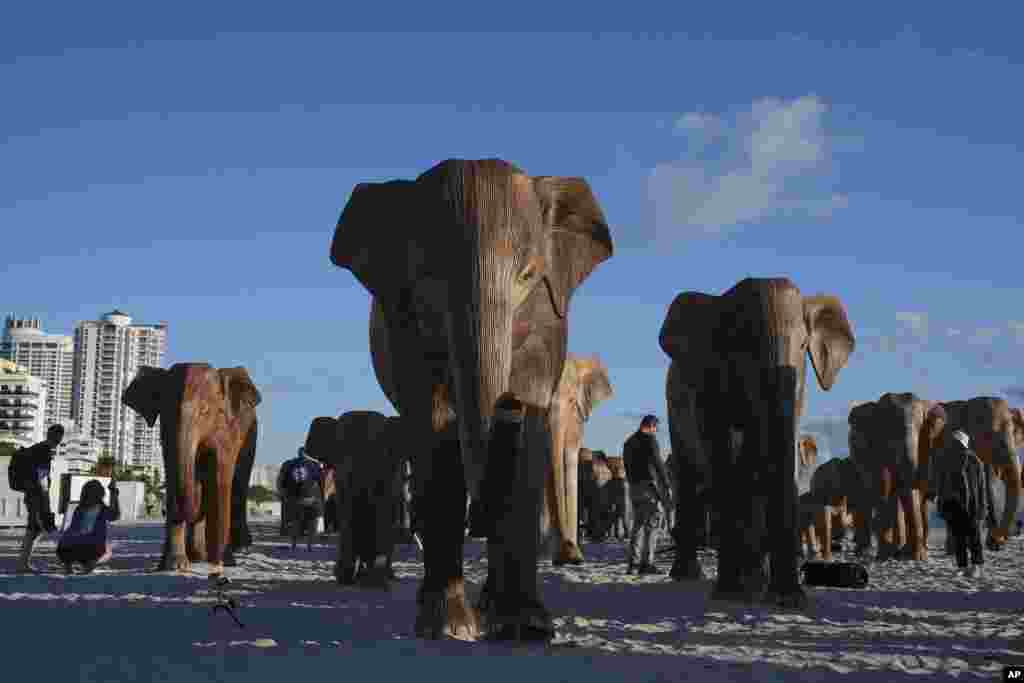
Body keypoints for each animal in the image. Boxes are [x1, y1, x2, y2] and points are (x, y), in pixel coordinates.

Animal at [122, 363, 261, 579]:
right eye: (164, 410)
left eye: (205, 411)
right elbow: (174, 475)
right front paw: (173, 566)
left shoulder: (227, 430)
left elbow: (220, 480)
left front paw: (221, 563)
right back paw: (198, 556)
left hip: (251, 433)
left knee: (238, 484)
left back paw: (235, 551)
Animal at [304, 413, 410, 586]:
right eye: (338, 450)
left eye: (383, 452)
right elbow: (347, 515)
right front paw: (345, 578)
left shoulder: (391, 479)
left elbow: (382, 514)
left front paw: (375, 580)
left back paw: (385, 575)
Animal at [660, 278, 855, 607]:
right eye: (743, 348)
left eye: (804, 346)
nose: (791, 599)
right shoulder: (707, 384)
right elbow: (724, 458)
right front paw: (730, 594)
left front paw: (784, 599)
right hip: (673, 404)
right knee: (691, 477)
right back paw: (689, 576)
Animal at [846, 393, 946, 562]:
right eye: (889, 430)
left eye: (920, 428)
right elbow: (883, 485)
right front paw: (886, 556)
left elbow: (909, 492)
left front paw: (915, 557)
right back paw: (878, 552)